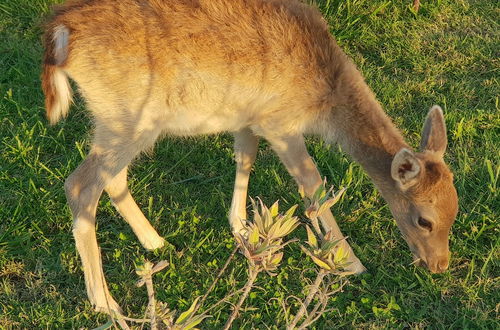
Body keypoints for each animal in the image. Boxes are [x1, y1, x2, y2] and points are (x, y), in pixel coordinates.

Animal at [42, 0, 458, 314]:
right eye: (424, 220)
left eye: (455, 210)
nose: (439, 265)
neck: (324, 94)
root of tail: (59, 33)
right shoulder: (279, 121)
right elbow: (313, 186)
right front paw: (350, 263)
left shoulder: (248, 117)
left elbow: (245, 156)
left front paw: (242, 227)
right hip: (129, 115)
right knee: (80, 185)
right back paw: (106, 303)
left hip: (117, 122)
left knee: (112, 178)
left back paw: (156, 243)